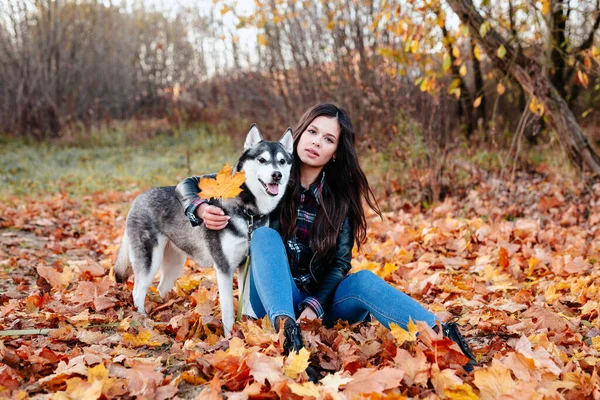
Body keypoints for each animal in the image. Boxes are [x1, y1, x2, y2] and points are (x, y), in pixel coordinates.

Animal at [114, 126, 292, 334]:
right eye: (262, 160)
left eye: (282, 161)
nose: (277, 175)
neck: (248, 213)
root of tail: (138, 197)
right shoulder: (224, 268)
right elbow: (227, 311)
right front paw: (230, 335)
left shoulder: (245, 266)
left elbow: (246, 302)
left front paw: (246, 328)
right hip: (150, 261)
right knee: (137, 291)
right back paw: (142, 320)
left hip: (175, 263)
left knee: (160, 287)